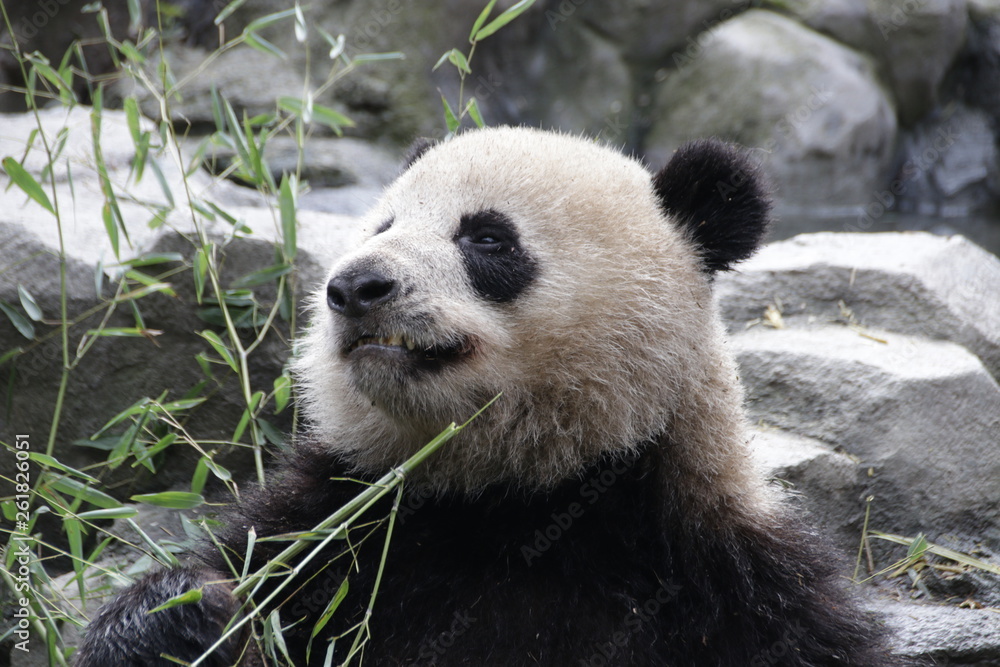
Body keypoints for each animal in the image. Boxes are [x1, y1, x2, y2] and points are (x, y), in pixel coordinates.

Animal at [75, 127, 893, 666]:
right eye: (383, 225)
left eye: (487, 238)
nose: (357, 286)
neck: (513, 492)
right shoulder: (338, 521)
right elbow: (242, 571)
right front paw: (184, 615)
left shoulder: (725, 578)